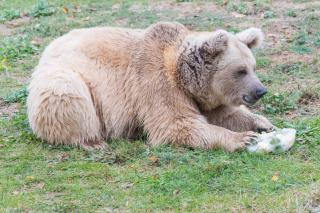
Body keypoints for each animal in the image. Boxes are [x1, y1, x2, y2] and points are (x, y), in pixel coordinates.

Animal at [26, 21, 276, 151]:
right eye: (240, 70)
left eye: (253, 67)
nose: (260, 90)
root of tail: (47, 49)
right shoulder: (155, 81)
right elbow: (176, 125)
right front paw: (242, 139)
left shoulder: (203, 97)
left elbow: (224, 114)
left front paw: (263, 124)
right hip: (65, 76)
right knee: (65, 98)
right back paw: (92, 141)